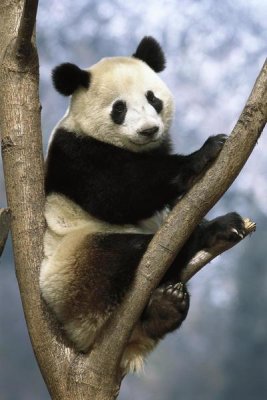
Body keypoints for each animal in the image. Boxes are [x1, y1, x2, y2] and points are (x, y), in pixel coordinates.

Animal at [39, 36, 247, 374]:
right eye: (119, 108)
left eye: (153, 98)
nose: (149, 129)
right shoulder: (77, 155)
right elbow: (119, 194)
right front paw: (206, 151)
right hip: (76, 269)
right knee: (131, 253)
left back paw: (165, 309)